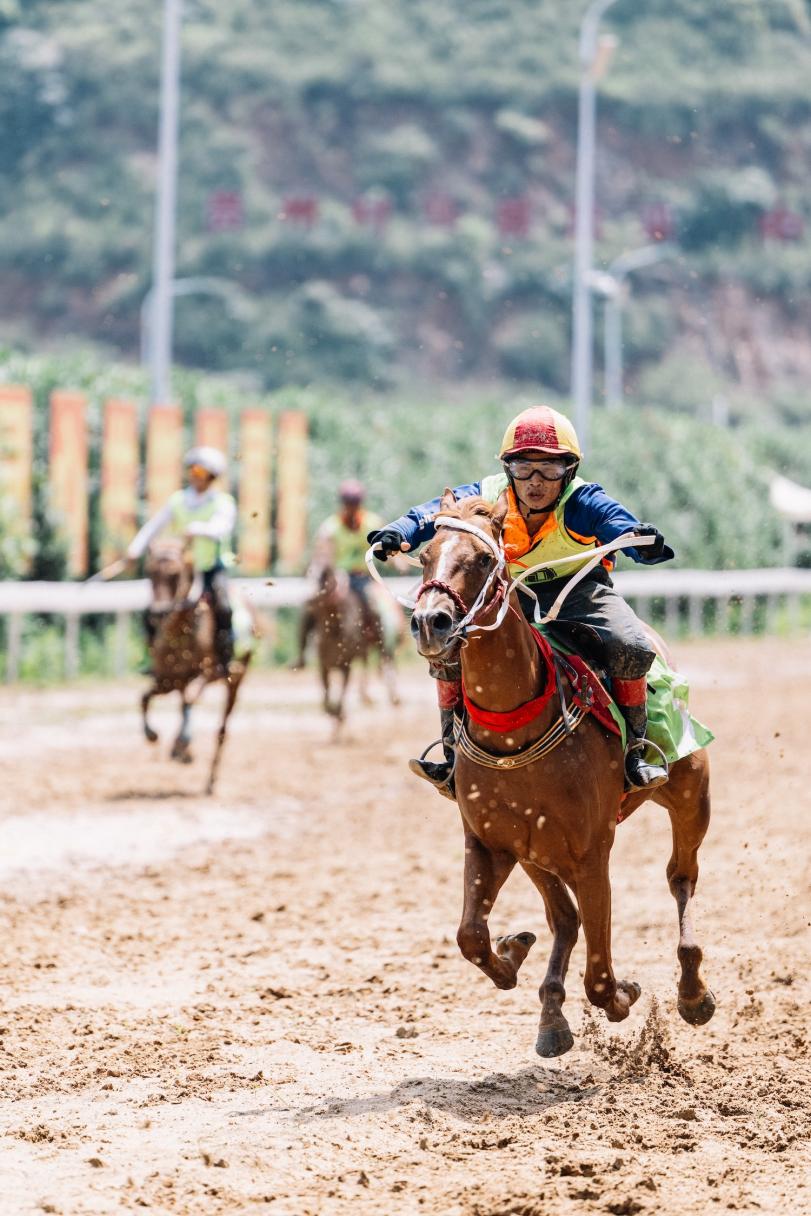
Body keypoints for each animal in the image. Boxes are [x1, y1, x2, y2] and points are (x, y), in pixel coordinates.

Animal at [140, 539, 251, 794]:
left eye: (174, 573)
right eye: (150, 572)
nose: (157, 612)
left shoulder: (209, 673)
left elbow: (190, 700)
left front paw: (181, 743)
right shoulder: (168, 679)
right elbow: (144, 698)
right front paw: (153, 735)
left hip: (235, 680)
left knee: (221, 729)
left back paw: (209, 779)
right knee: (183, 703)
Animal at [309, 564, 401, 731]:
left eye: (325, 581)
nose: (310, 602)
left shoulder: (346, 666)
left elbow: (339, 697)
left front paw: (340, 715)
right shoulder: (324, 666)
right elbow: (327, 701)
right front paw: (336, 715)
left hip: (381, 646)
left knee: (386, 663)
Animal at [408, 491, 715, 1057]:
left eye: (482, 560)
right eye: (424, 555)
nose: (429, 622)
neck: (515, 732)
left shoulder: (593, 854)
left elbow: (600, 976)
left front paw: (623, 994)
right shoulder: (491, 844)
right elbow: (471, 936)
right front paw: (512, 954)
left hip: (690, 796)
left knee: (680, 877)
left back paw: (692, 992)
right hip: (538, 854)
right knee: (565, 919)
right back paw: (550, 1013)